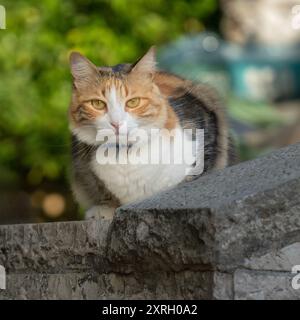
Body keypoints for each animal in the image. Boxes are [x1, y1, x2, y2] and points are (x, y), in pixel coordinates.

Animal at [69, 46, 233, 219]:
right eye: (97, 104)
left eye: (133, 102)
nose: (116, 123)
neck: (125, 155)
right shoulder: (84, 168)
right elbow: (103, 190)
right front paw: (104, 209)